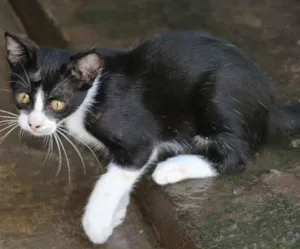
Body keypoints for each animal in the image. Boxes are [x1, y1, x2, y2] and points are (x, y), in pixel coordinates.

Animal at [3, 30, 300, 243]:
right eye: (23, 97)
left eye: (56, 103)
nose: (34, 124)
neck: (90, 95)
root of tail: (269, 105)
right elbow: (119, 175)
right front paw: (117, 211)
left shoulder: (138, 141)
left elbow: (113, 178)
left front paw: (97, 224)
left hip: (219, 95)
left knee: (234, 157)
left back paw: (173, 168)